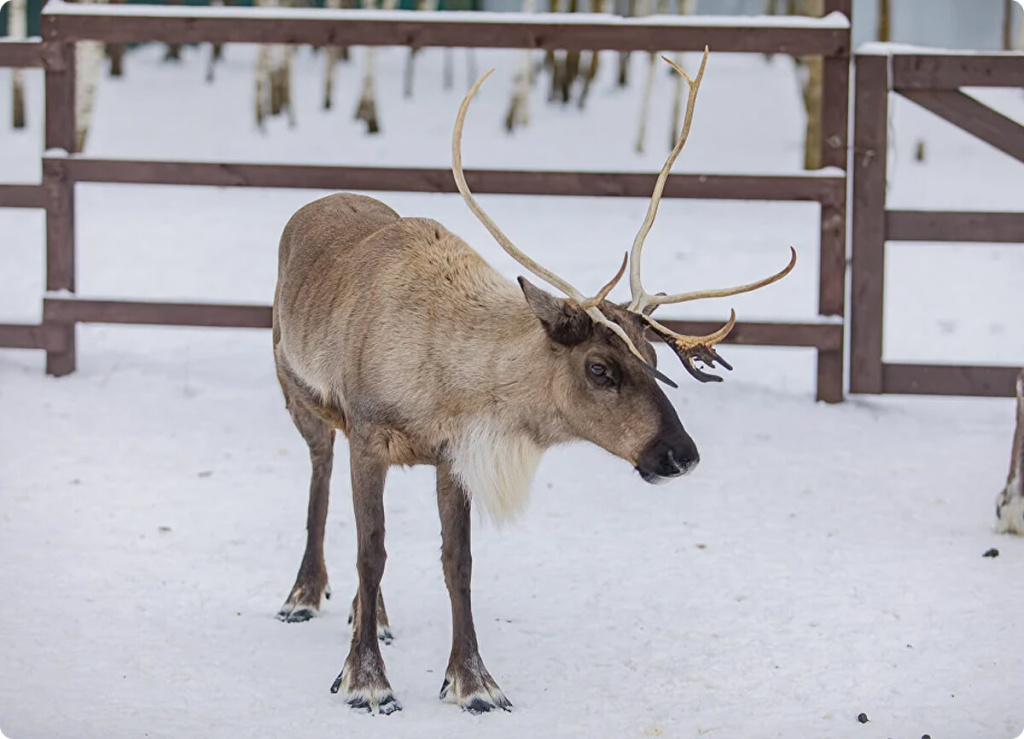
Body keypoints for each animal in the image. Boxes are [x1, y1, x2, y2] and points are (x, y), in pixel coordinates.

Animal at [271, 47, 796, 715]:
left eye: (653, 357)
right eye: (599, 368)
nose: (682, 454)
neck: (451, 379)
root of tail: (314, 203)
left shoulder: (452, 455)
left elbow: (458, 561)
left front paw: (472, 682)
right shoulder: (370, 436)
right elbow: (372, 549)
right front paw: (365, 679)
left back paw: (376, 615)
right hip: (299, 396)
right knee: (321, 473)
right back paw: (304, 595)